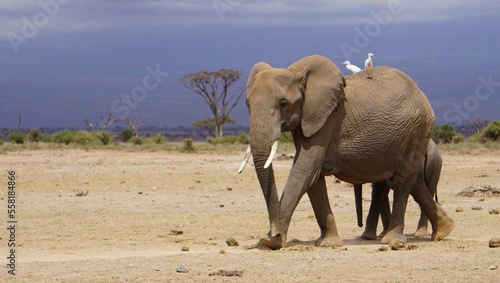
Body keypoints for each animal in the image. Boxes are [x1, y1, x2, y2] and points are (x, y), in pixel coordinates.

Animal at [244, 54, 456, 250]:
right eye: (247, 105)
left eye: (283, 104)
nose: (273, 233)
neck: (297, 73)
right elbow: (313, 178)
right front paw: (327, 243)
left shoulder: (326, 120)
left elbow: (304, 170)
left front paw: (272, 242)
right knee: (414, 181)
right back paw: (444, 230)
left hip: (418, 128)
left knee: (404, 181)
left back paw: (393, 240)